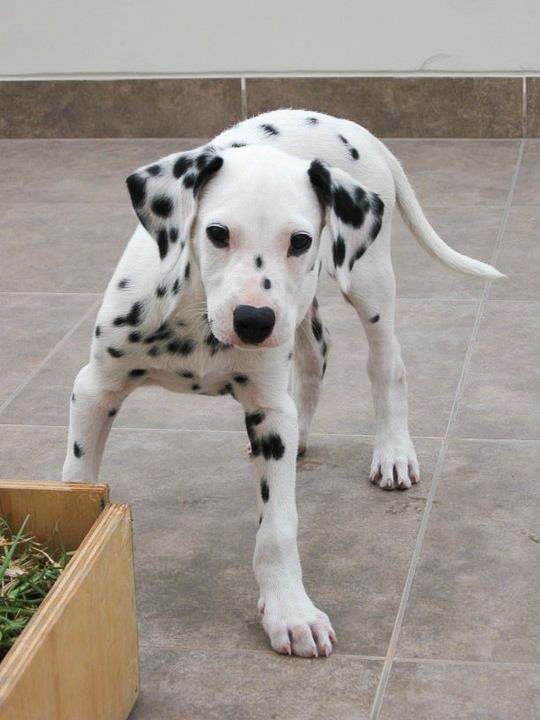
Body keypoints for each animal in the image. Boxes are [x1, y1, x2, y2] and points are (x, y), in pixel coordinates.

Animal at [62, 108, 502, 660]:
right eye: (217, 233)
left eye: (299, 241)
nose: (253, 320)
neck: (194, 319)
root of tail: (354, 128)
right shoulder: (95, 390)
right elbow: (78, 481)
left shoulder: (268, 414)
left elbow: (277, 528)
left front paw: (290, 611)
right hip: (302, 312)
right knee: (315, 354)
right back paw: (307, 434)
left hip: (368, 283)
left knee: (387, 364)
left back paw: (393, 452)